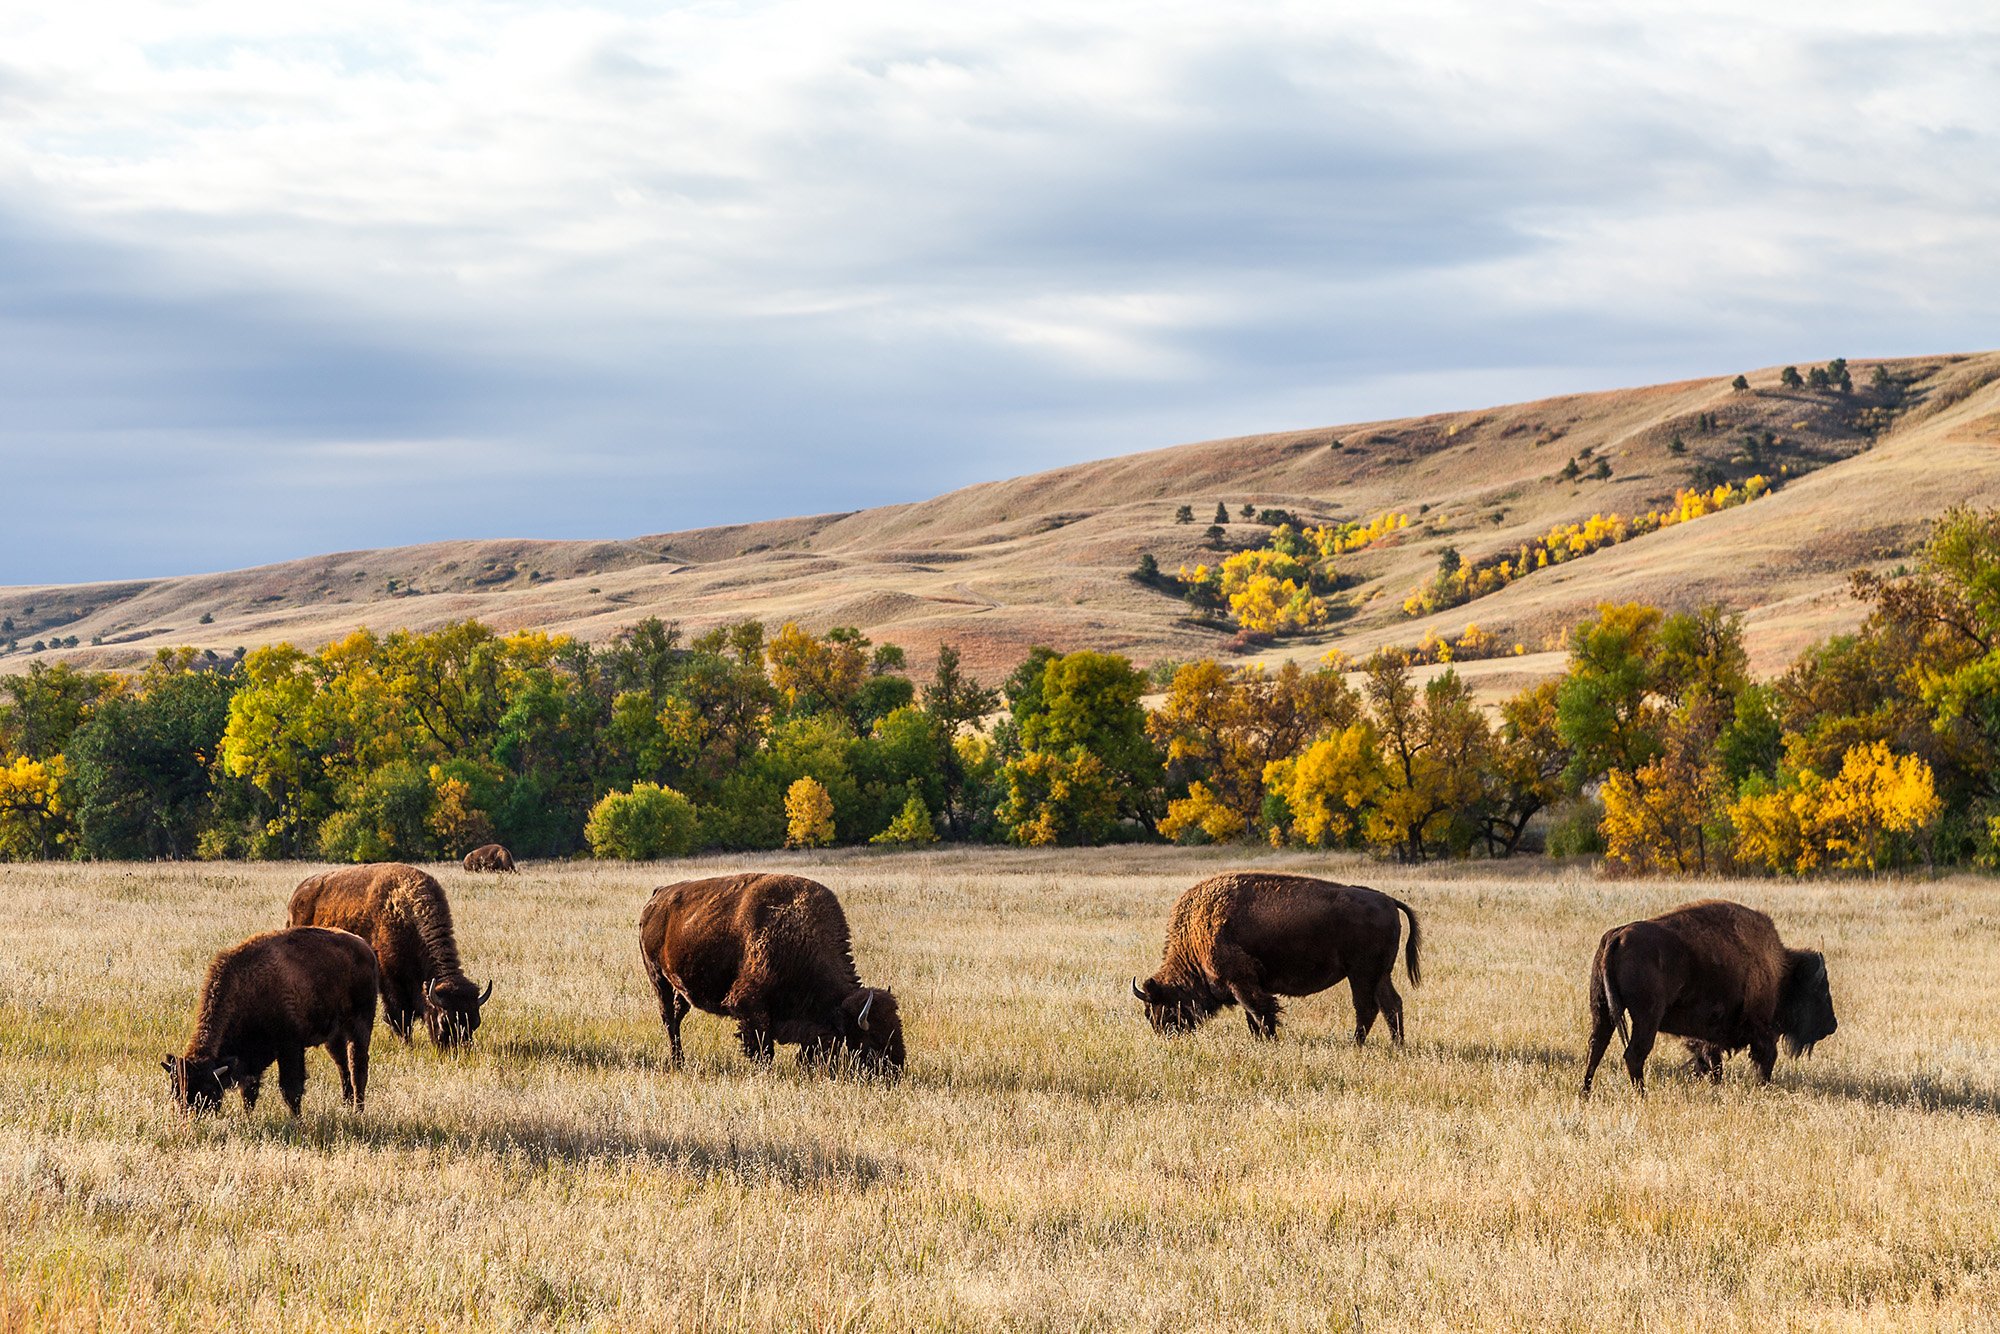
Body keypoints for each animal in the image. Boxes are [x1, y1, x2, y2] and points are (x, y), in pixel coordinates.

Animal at [163, 926, 378, 1115]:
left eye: (207, 1089)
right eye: (176, 1091)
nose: (190, 1118)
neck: (247, 986)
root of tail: (365, 947)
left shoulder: (290, 1047)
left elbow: (290, 1089)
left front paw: (297, 1121)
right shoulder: (250, 1058)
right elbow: (249, 1092)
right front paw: (247, 1118)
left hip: (361, 1024)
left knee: (357, 1066)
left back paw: (358, 1111)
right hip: (334, 1036)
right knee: (342, 1065)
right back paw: (346, 1105)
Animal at [289, 863, 493, 1048]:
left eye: (475, 1023)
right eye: (444, 1021)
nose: (458, 1052)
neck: (408, 915)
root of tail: (298, 895)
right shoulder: (391, 981)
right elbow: (399, 1016)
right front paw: (407, 1044)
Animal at [639, 872, 905, 1074]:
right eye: (872, 1043)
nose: (896, 1073)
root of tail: (657, 896)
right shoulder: (749, 1006)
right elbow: (763, 1049)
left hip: (679, 986)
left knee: (677, 1015)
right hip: (657, 977)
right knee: (668, 1018)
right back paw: (677, 1062)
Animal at [1133, 872, 1422, 1044]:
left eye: (1158, 1006)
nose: (1164, 1034)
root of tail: (1388, 900)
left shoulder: (1241, 981)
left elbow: (1260, 1012)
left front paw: (1270, 1040)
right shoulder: (1248, 984)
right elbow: (1253, 1016)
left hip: (1361, 974)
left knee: (1367, 1007)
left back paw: (1357, 1044)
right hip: (1380, 974)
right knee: (1391, 1005)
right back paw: (1396, 1045)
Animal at [1582, 898, 1837, 1095]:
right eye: (1821, 991)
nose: (1832, 1025)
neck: (1779, 970)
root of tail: (1617, 935)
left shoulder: (1706, 1037)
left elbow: (1711, 1061)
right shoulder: (1761, 1030)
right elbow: (1763, 1059)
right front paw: (1762, 1086)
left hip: (1601, 1010)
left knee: (1596, 1047)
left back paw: (1585, 1092)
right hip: (1647, 1018)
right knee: (1634, 1054)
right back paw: (1642, 1095)